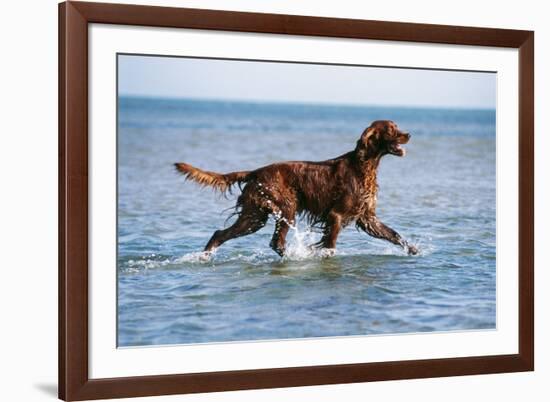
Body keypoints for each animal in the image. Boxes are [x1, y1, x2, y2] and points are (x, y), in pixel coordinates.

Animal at [176, 120, 418, 258]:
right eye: (391, 129)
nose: (409, 134)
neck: (363, 165)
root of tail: (256, 171)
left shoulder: (367, 218)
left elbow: (394, 234)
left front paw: (414, 249)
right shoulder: (336, 215)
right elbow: (330, 245)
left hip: (254, 215)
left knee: (222, 233)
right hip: (285, 208)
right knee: (276, 242)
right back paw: (296, 256)